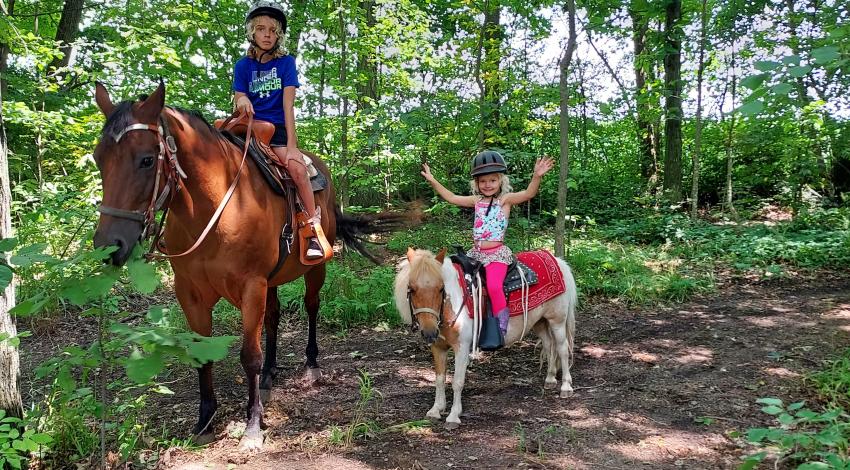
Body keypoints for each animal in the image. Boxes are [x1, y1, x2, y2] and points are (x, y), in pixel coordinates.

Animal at [94, 82, 400, 450]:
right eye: (98, 159)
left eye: (146, 159)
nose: (108, 247)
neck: (213, 210)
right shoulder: (190, 293)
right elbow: (203, 353)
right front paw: (205, 421)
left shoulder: (251, 285)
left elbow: (249, 355)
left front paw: (253, 426)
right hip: (273, 279)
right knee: (273, 318)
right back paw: (269, 377)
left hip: (314, 270)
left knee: (312, 306)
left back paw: (311, 364)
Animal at [392, 248, 576, 428]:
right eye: (411, 289)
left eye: (440, 288)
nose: (429, 332)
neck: (453, 303)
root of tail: (557, 260)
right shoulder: (438, 347)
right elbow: (439, 379)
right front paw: (436, 409)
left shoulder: (462, 347)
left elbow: (457, 381)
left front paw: (453, 416)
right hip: (540, 322)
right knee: (549, 345)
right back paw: (550, 379)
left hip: (557, 321)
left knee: (562, 349)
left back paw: (566, 387)